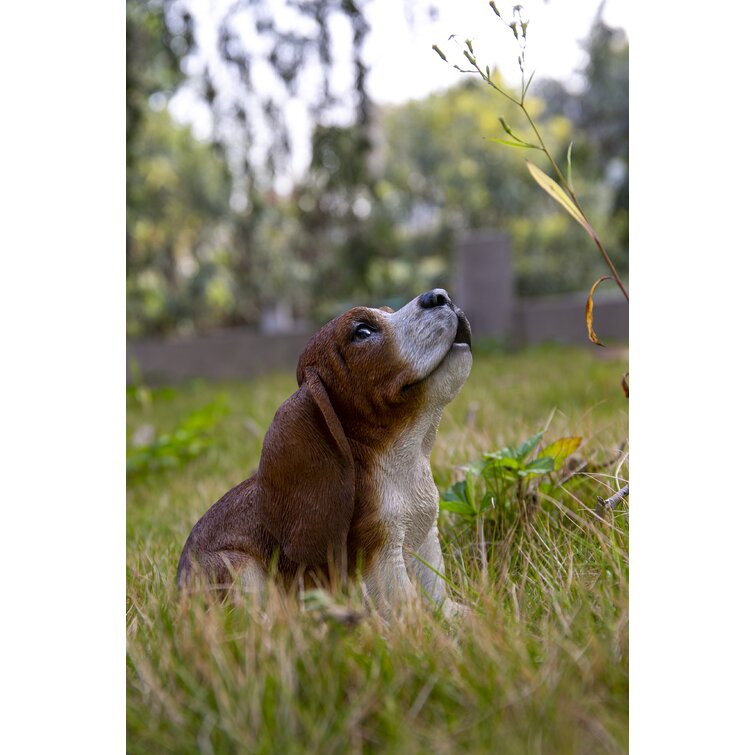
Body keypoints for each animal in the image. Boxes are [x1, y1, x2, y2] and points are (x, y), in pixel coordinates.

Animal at [177, 290, 472, 620]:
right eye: (362, 332)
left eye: (388, 311)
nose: (440, 295)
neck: (404, 457)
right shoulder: (381, 554)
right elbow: (406, 605)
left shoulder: (425, 538)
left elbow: (437, 593)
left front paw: (461, 618)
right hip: (239, 567)